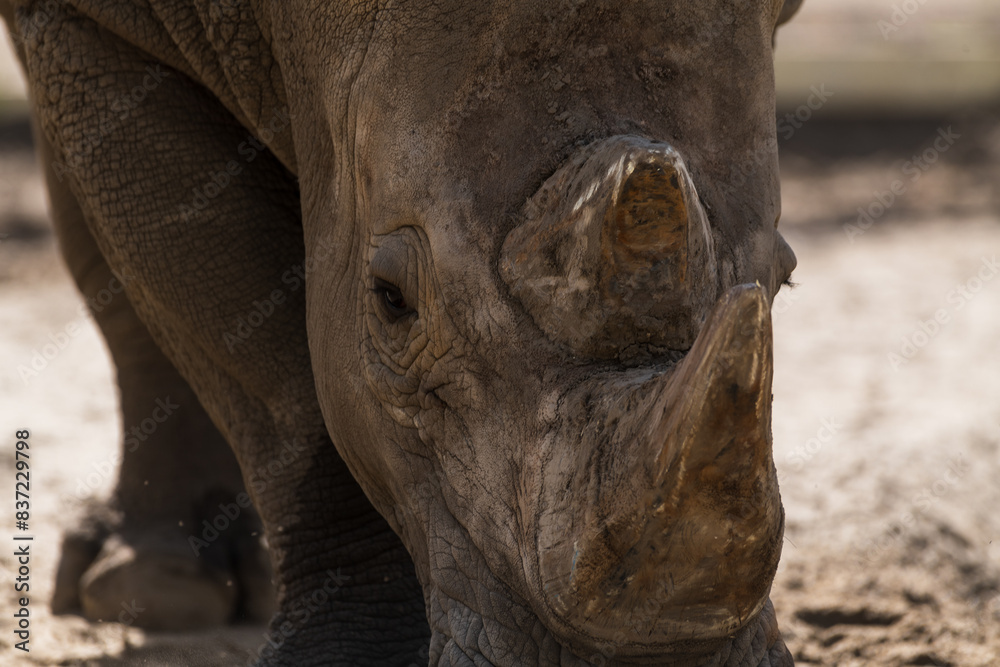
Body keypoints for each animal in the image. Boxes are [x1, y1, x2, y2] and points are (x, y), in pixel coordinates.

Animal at [2, 0, 802, 664]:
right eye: (391, 302)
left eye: (787, 274)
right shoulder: (93, 17)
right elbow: (280, 381)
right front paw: (349, 653)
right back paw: (155, 587)